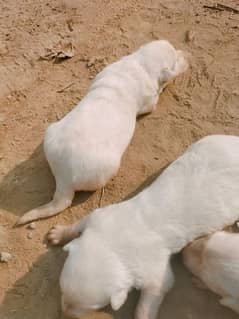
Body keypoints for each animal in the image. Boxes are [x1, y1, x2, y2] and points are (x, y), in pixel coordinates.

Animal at [17, 39, 189, 225]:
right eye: (175, 59)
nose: (185, 54)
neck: (139, 63)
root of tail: (64, 178)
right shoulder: (149, 101)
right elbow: (155, 98)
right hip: (109, 168)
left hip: (50, 131)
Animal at [48, 135, 239, 319]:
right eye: (62, 291)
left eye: (92, 307)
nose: (65, 314)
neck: (114, 244)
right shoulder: (104, 218)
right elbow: (84, 220)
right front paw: (58, 234)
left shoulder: (151, 264)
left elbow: (159, 286)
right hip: (211, 142)